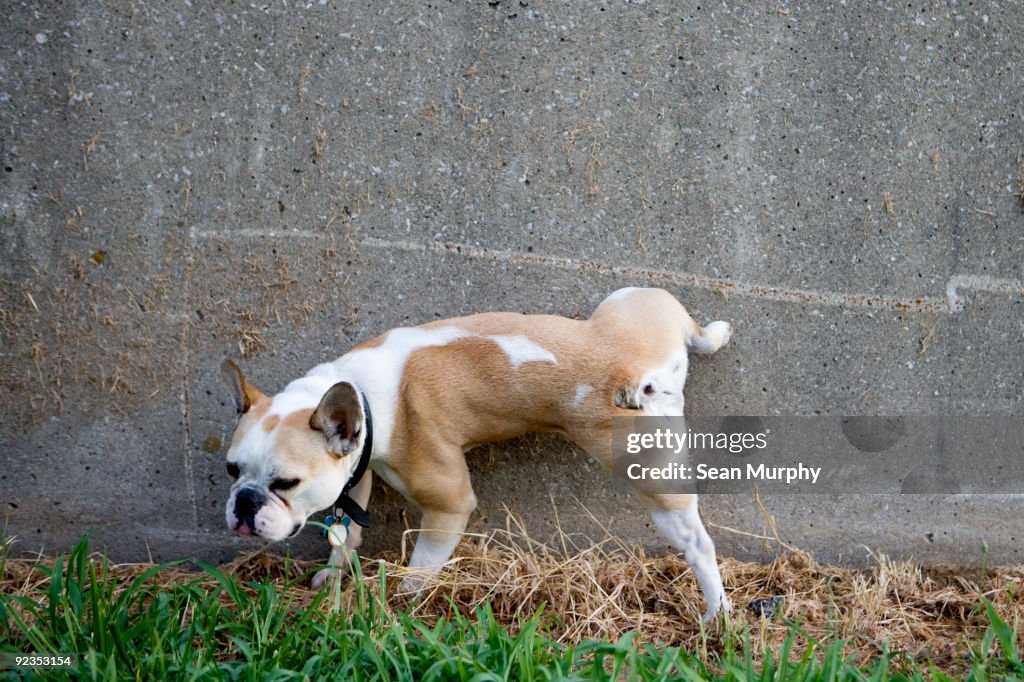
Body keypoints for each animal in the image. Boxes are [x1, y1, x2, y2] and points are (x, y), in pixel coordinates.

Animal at [222, 284, 737, 618]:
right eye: (231, 470)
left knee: (696, 543)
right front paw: (334, 574)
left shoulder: (447, 504)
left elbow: (422, 565)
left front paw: (402, 602)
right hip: (634, 298)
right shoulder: (356, 470)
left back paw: (716, 612)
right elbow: (346, 531)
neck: (359, 394)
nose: (243, 503)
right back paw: (715, 332)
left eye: (286, 483)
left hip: (649, 471)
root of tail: (639, 371)